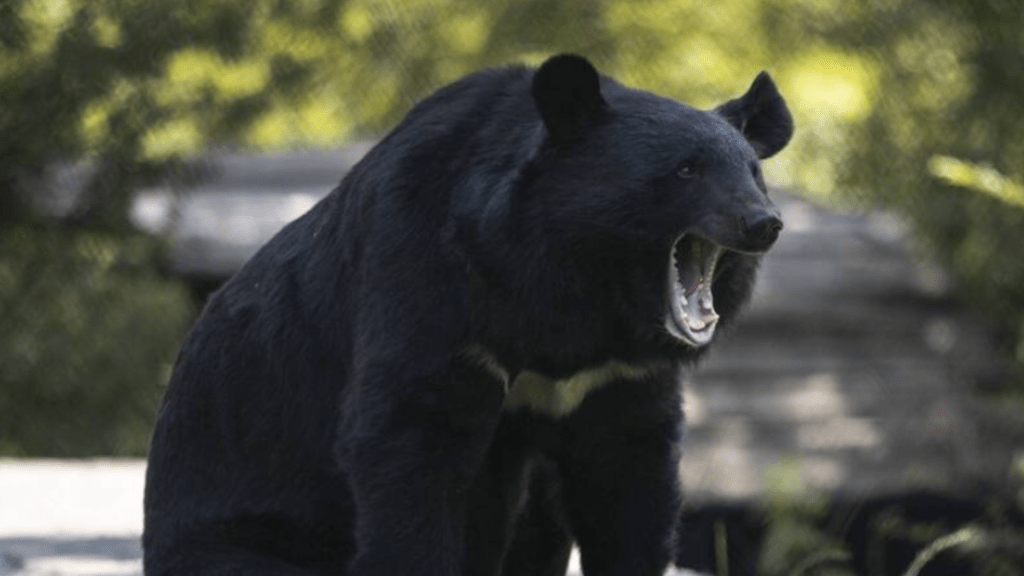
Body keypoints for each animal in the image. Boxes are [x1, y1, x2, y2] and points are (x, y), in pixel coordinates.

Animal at [143, 54, 792, 576]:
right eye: (686, 170)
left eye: (754, 173)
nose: (763, 223)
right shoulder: (429, 286)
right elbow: (408, 441)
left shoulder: (616, 377)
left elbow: (628, 480)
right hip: (234, 527)